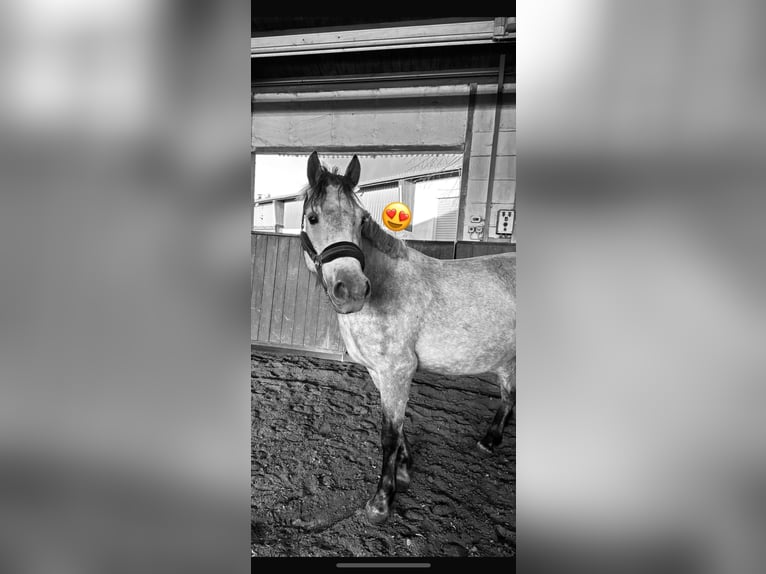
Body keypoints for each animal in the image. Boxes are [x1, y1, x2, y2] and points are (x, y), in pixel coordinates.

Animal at [299, 151, 516, 525]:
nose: (352, 290)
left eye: (361, 220)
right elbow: (398, 428)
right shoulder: (379, 372)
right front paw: (403, 470)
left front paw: (381, 501)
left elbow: (389, 434)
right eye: (313, 218)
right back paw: (490, 440)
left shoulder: (398, 370)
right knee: (508, 395)